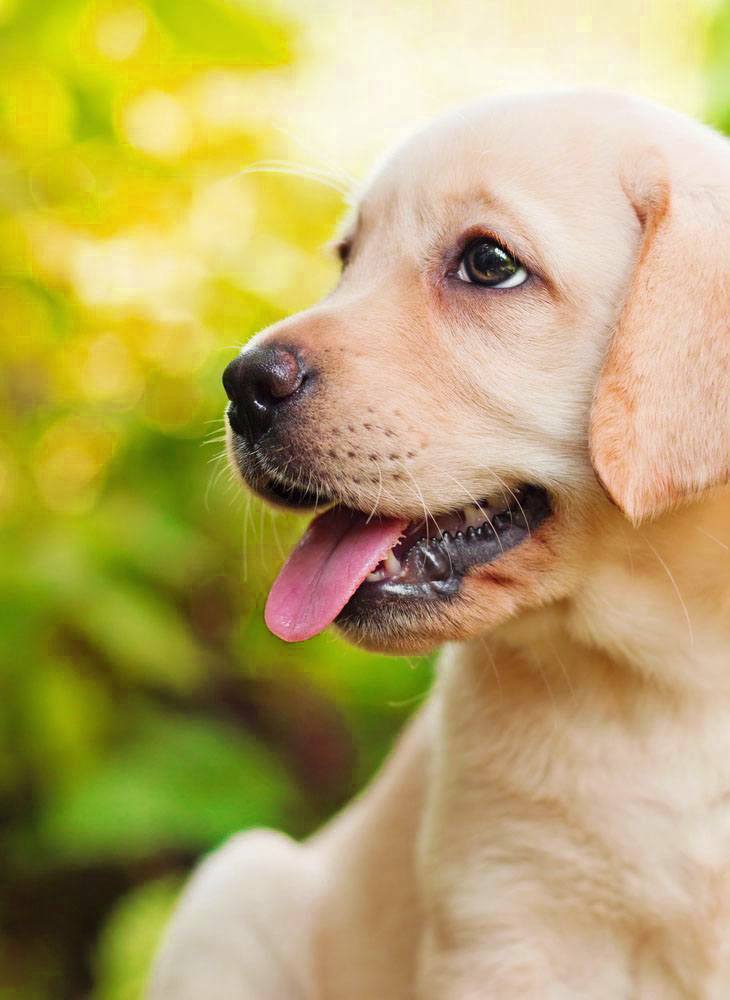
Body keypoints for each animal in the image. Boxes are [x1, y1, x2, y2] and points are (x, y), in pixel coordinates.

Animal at [149, 90, 728, 996]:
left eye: (489, 264)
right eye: (346, 257)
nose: (242, 386)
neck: (675, 678)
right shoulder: (503, 920)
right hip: (237, 888)